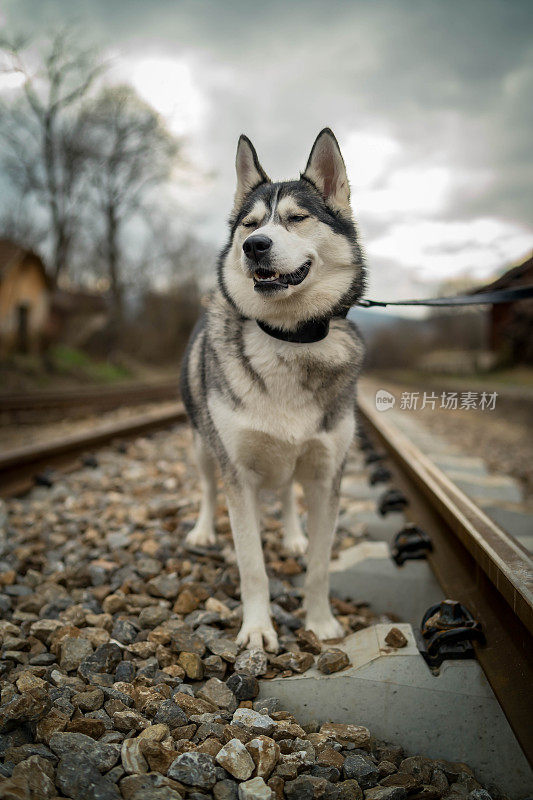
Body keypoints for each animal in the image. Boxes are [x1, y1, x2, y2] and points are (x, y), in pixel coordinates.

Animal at [181, 130, 364, 648]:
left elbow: (320, 566)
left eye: (297, 219)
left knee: (285, 491)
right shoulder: (237, 473)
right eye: (249, 225)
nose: (255, 246)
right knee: (208, 487)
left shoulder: (327, 475)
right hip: (203, 444)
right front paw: (258, 630)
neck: (288, 338)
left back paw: (292, 534)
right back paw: (204, 531)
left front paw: (320, 623)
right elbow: (252, 566)